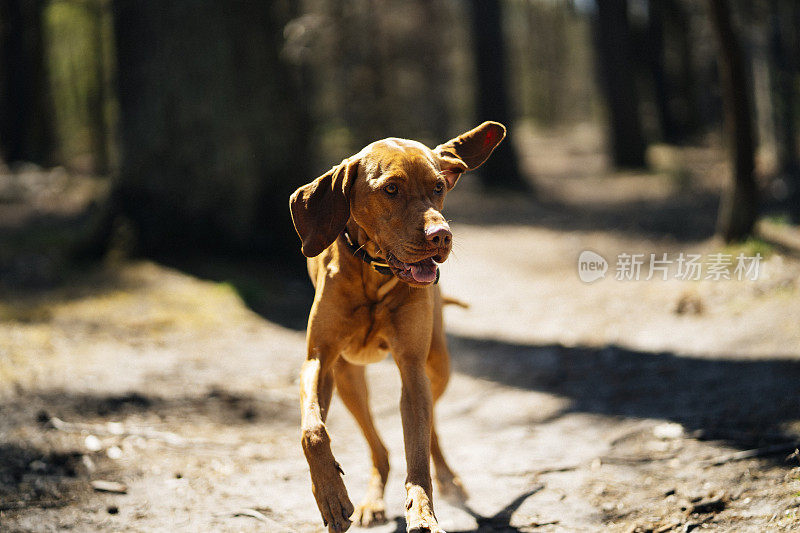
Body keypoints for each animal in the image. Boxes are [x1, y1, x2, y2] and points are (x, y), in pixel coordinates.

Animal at [290, 121, 506, 532]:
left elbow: (418, 456)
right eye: (390, 189)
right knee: (380, 448)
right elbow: (313, 431)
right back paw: (372, 501)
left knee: (429, 430)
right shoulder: (318, 359)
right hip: (348, 378)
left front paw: (422, 512)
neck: (374, 274)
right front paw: (329, 495)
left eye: (438, 187)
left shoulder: (411, 366)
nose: (442, 236)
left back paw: (448, 480)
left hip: (437, 367)